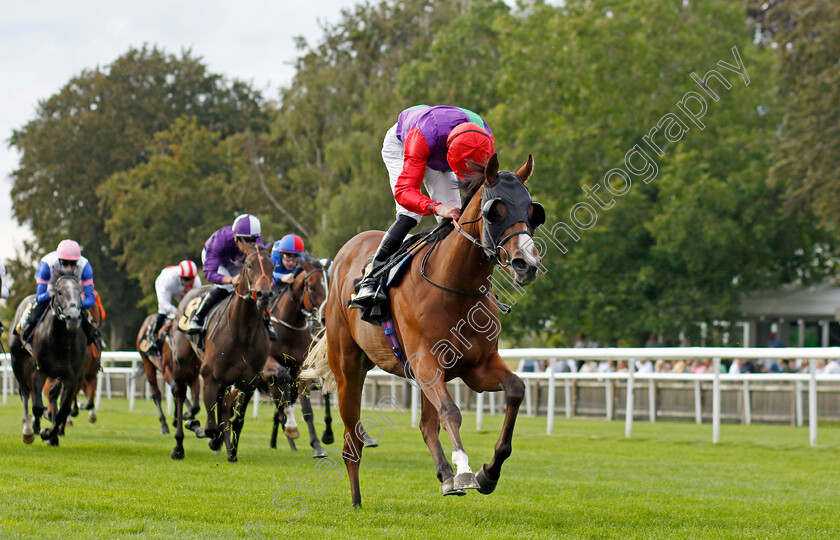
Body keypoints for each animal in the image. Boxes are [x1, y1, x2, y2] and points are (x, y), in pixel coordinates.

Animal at [9, 272, 89, 446]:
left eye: (79, 292)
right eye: (59, 292)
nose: (73, 318)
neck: (61, 341)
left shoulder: (71, 378)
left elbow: (62, 412)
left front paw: (49, 434)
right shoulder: (39, 370)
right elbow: (37, 406)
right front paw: (37, 430)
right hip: (17, 361)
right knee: (25, 393)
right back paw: (28, 430)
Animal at [182, 247, 274, 462]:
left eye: (272, 266)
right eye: (249, 266)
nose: (264, 294)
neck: (242, 334)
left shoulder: (248, 383)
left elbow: (236, 420)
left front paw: (232, 452)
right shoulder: (210, 377)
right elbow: (211, 427)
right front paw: (196, 425)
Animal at [304, 155, 544, 506]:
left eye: (532, 211)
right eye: (496, 210)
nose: (526, 263)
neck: (455, 285)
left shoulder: (477, 366)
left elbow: (515, 389)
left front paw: (488, 472)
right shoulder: (425, 360)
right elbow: (450, 411)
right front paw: (465, 470)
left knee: (425, 425)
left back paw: (444, 475)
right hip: (348, 366)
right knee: (352, 440)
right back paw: (357, 498)